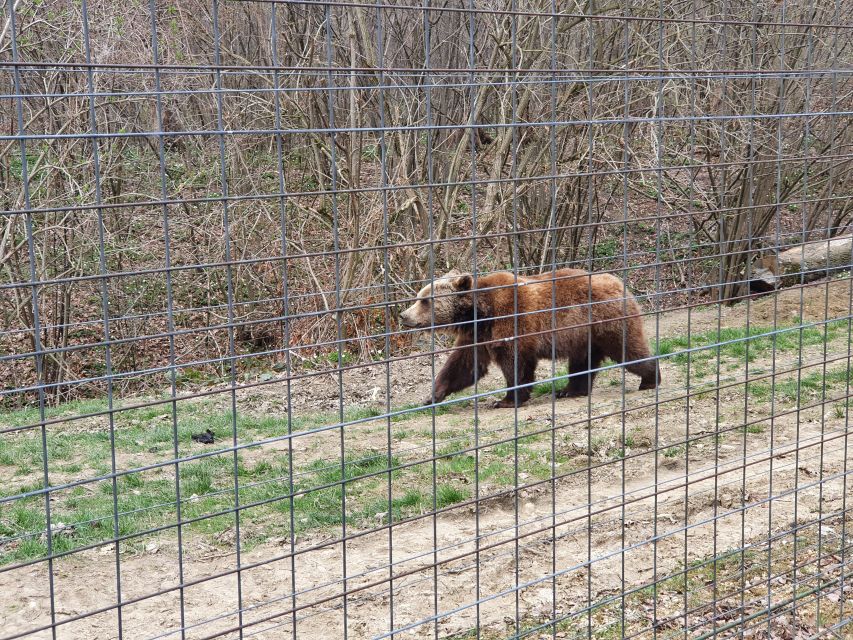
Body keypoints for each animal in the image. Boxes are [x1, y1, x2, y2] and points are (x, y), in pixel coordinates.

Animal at [400, 268, 660, 408]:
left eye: (424, 300)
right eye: (419, 296)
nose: (404, 316)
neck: (479, 314)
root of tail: (621, 284)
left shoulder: (511, 321)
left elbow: (516, 363)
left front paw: (506, 399)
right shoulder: (477, 336)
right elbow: (464, 365)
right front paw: (432, 395)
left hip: (607, 323)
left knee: (629, 350)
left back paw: (650, 378)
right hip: (584, 336)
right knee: (582, 363)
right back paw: (569, 390)